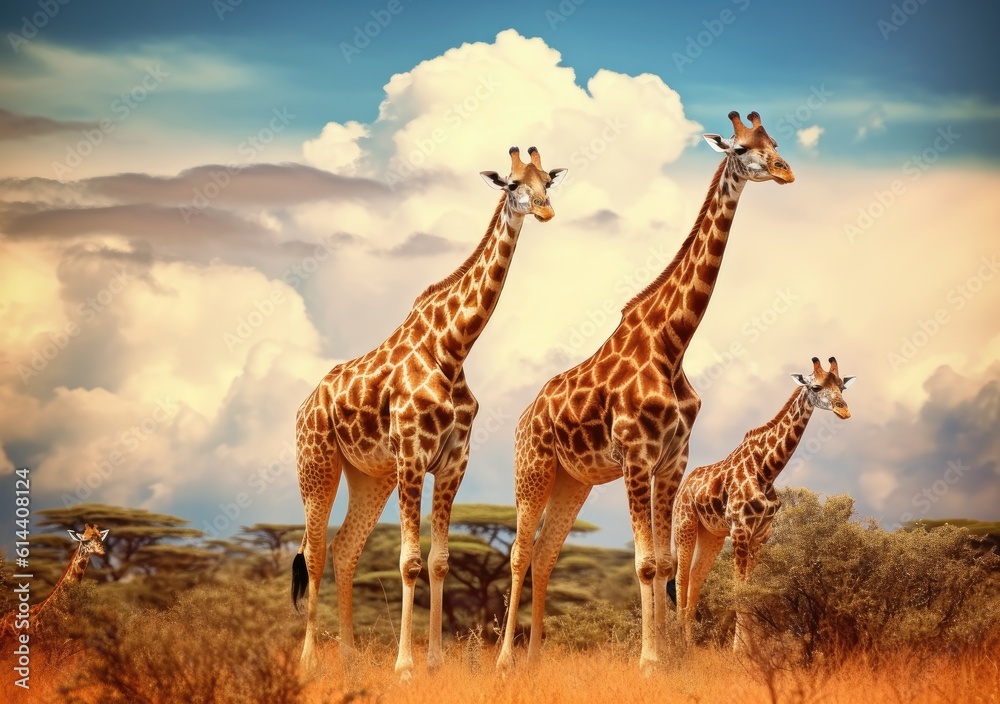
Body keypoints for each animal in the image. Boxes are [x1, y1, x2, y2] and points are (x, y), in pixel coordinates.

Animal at [291, 147, 567, 678]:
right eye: (512, 184)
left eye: (548, 180)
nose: (545, 211)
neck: (452, 349)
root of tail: (305, 405)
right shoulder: (413, 457)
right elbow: (409, 561)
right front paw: (405, 666)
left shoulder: (454, 462)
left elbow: (439, 561)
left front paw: (435, 661)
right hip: (318, 463)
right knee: (312, 551)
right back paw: (310, 661)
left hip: (370, 475)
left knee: (344, 548)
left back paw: (350, 659)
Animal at [496, 111, 794, 673]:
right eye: (742, 148)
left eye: (774, 141)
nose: (786, 171)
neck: (671, 342)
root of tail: (523, 419)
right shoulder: (636, 456)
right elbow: (645, 564)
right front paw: (651, 659)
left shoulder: (673, 459)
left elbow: (666, 562)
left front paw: (676, 656)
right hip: (534, 468)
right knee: (521, 551)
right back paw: (505, 662)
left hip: (575, 480)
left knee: (546, 552)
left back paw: (535, 658)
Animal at [670, 357, 855, 651]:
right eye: (815, 386)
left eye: (842, 386)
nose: (844, 410)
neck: (767, 470)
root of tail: (683, 487)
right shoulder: (740, 529)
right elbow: (739, 589)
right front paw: (739, 650)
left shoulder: (761, 534)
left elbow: (751, 589)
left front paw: (751, 649)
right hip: (685, 525)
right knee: (681, 577)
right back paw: (680, 646)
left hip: (712, 534)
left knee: (696, 578)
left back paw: (692, 643)